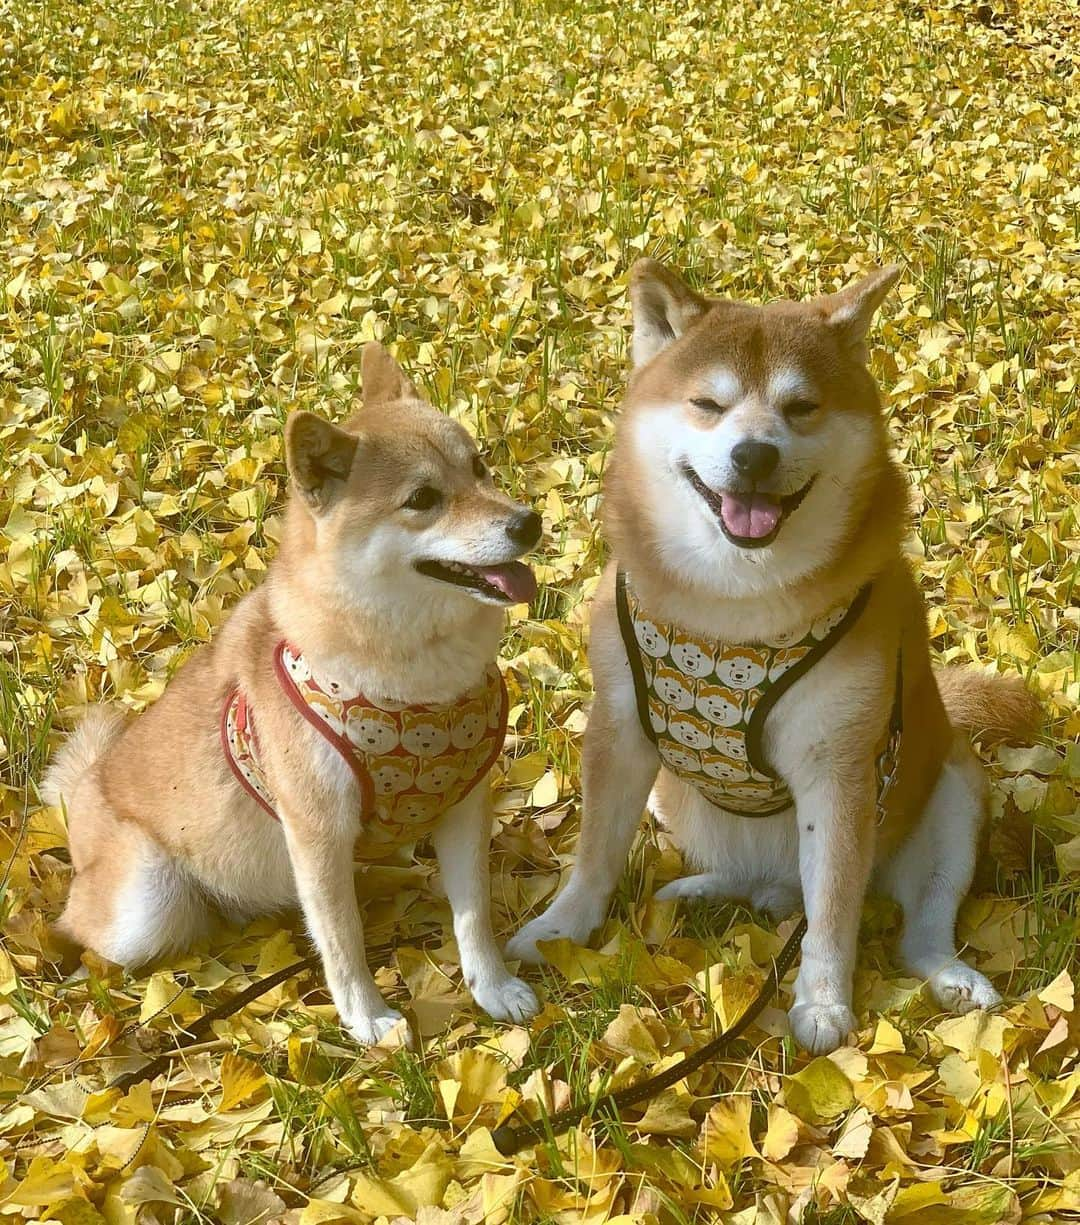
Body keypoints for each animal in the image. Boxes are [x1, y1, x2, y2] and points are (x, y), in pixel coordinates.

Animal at [45, 343, 543, 1043]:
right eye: (423, 498)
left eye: (478, 465)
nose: (529, 522)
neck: (418, 684)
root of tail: (86, 790)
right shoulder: (316, 834)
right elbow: (343, 939)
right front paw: (367, 1018)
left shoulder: (465, 804)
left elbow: (473, 916)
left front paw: (492, 988)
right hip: (144, 907)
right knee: (84, 928)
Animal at [509, 258, 1038, 1053]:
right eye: (706, 403)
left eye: (802, 407)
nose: (754, 453)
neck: (731, 603)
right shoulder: (621, 730)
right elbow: (595, 853)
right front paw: (560, 929)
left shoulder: (840, 768)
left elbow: (833, 913)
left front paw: (822, 1001)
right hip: (673, 800)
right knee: (740, 874)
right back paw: (701, 890)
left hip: (949, 794)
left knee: (910, 926)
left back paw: (949, 975)